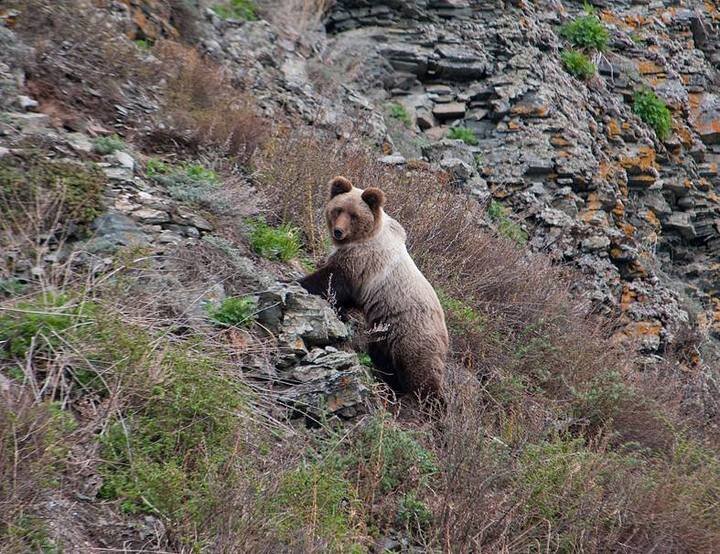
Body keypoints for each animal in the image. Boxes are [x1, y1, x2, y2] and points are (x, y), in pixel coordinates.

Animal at [300, 175, 448, 394]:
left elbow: (332, 281)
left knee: (419, 371)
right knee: (384, 357)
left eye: (354, 215)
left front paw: (298, 282)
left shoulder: (363, 263)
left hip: (412, 334)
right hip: (387, 332)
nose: (338, 231)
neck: (361, 238)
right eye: (338, 210)